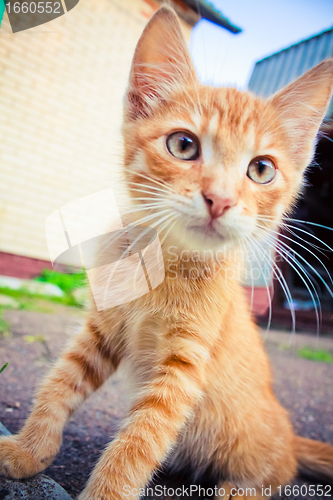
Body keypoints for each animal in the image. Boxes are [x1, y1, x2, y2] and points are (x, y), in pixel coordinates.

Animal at [0, 4, 332, 500]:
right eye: (183, 144)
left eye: (261, 169)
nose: (220, 199)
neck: (163, 264)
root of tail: (289, 431)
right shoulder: (100, 329)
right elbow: (60, 383)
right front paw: (29, 449)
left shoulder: (182, 369)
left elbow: (139, 443)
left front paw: (105, 492)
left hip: (256, 446)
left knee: (280, 471)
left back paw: (238, 489)